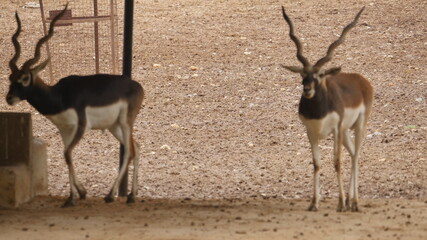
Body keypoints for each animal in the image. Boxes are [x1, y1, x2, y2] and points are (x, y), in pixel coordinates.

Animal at [5, 6, 145, 208]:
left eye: (24, 78)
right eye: (10, 78)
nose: (9, 98)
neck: (60, 96)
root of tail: (137, 85)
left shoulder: (81, 126)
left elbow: (67, 154)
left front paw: (73, 196)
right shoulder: (64, 129)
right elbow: (67, 156)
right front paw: (78, 193)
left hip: (126, 123)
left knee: (128, 151)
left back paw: (110, 195)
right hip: (114, 126)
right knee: (137, 147)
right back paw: (132, 196)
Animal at [282, 6, 372, 212]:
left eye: (320, 74)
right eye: (302, 74)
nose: (307, 89)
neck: (318, 111)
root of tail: (360, 79)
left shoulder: (335, 129)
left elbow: (337, 163)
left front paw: (340, 203)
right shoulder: (311, 131)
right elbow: (316, 164)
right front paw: (313, 203)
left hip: (358, 125)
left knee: (356, 156)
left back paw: (354, 202)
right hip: (346, 131)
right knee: (353, 154)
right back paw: (351, 201)